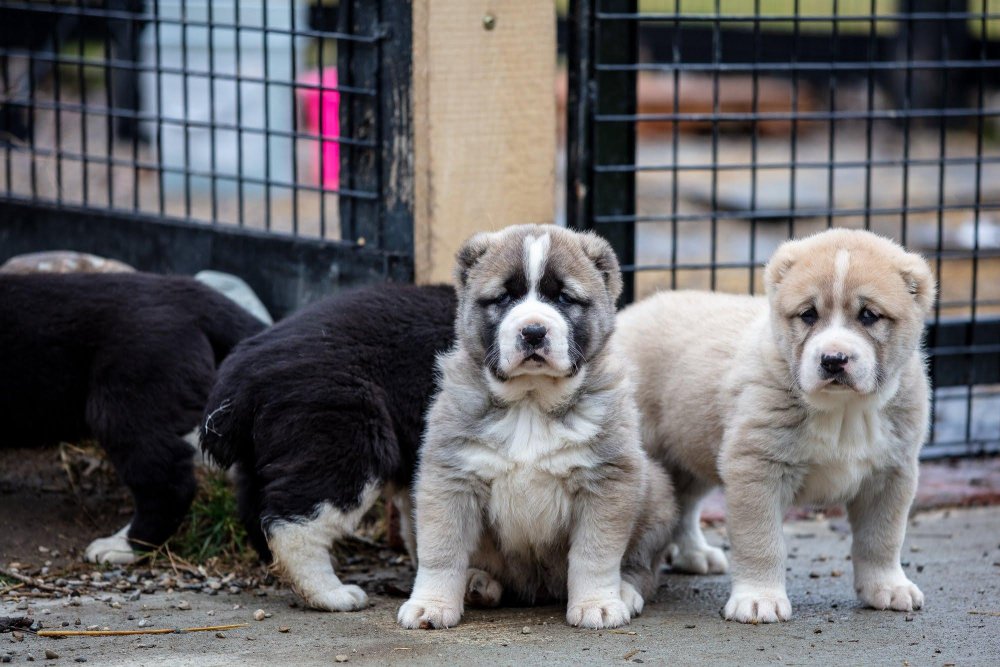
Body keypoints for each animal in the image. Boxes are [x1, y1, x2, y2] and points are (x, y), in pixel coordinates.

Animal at [199, 284, 458, 612]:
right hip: (344, 429)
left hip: (264, 450)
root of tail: (240, 377)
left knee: (257, 508)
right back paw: (333, 594)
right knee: (297, 521)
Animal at [396, 224, 672, 632]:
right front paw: (430, 604)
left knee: (643, 567)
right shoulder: (450, 478)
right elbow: (441, 550)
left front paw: (598, 604)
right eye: (504, 298)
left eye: (565, 298)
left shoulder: (608, 480)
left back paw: (624, 591)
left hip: (656, 493)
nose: (533, 331)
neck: (530, 401)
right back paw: (477, 583)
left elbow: (595, 553)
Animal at [616, 231, 936, 628]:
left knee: (684, 505)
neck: (843, 410)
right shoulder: (757, 468)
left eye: (868, 315)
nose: (833, 360)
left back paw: (694, 554)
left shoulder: (892, 474)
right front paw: (759, 599)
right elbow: (761, 541)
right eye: (808, 314)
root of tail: (628, 316)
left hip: (692, 452)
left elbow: (883, 538)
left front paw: (888, 587)